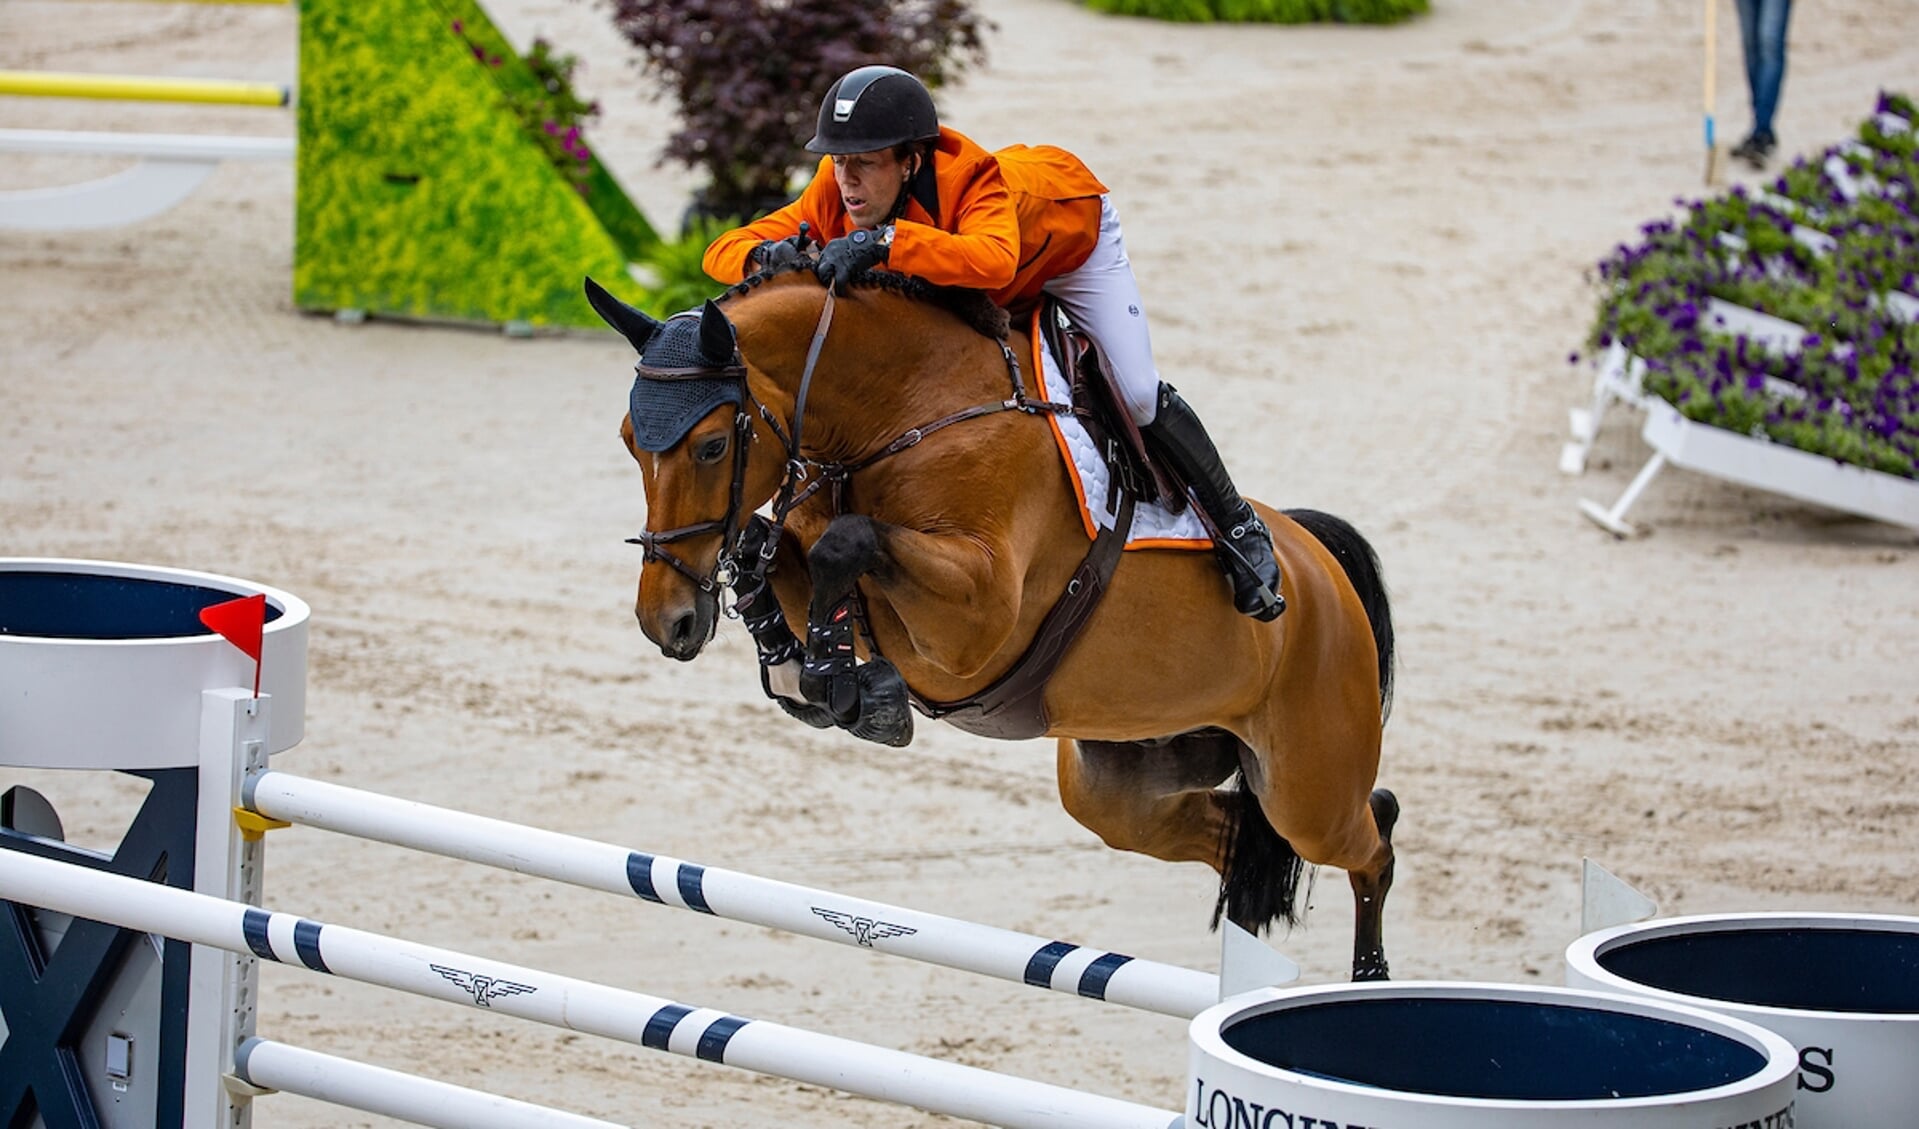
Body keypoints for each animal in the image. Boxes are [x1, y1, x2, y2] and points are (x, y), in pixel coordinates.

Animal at [575, 264, 1404, 979]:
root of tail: (1318, 565)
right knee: (1231, 838)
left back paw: (1369, 975)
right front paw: (802, 665)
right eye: (627, 439)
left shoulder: (973, 622)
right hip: (1123, 783)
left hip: (1306, 788)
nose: (665, 619)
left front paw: (851, 688)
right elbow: (773, 545)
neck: (905, 412)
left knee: (1371, 836)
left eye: (713, 444)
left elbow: (847, 543)